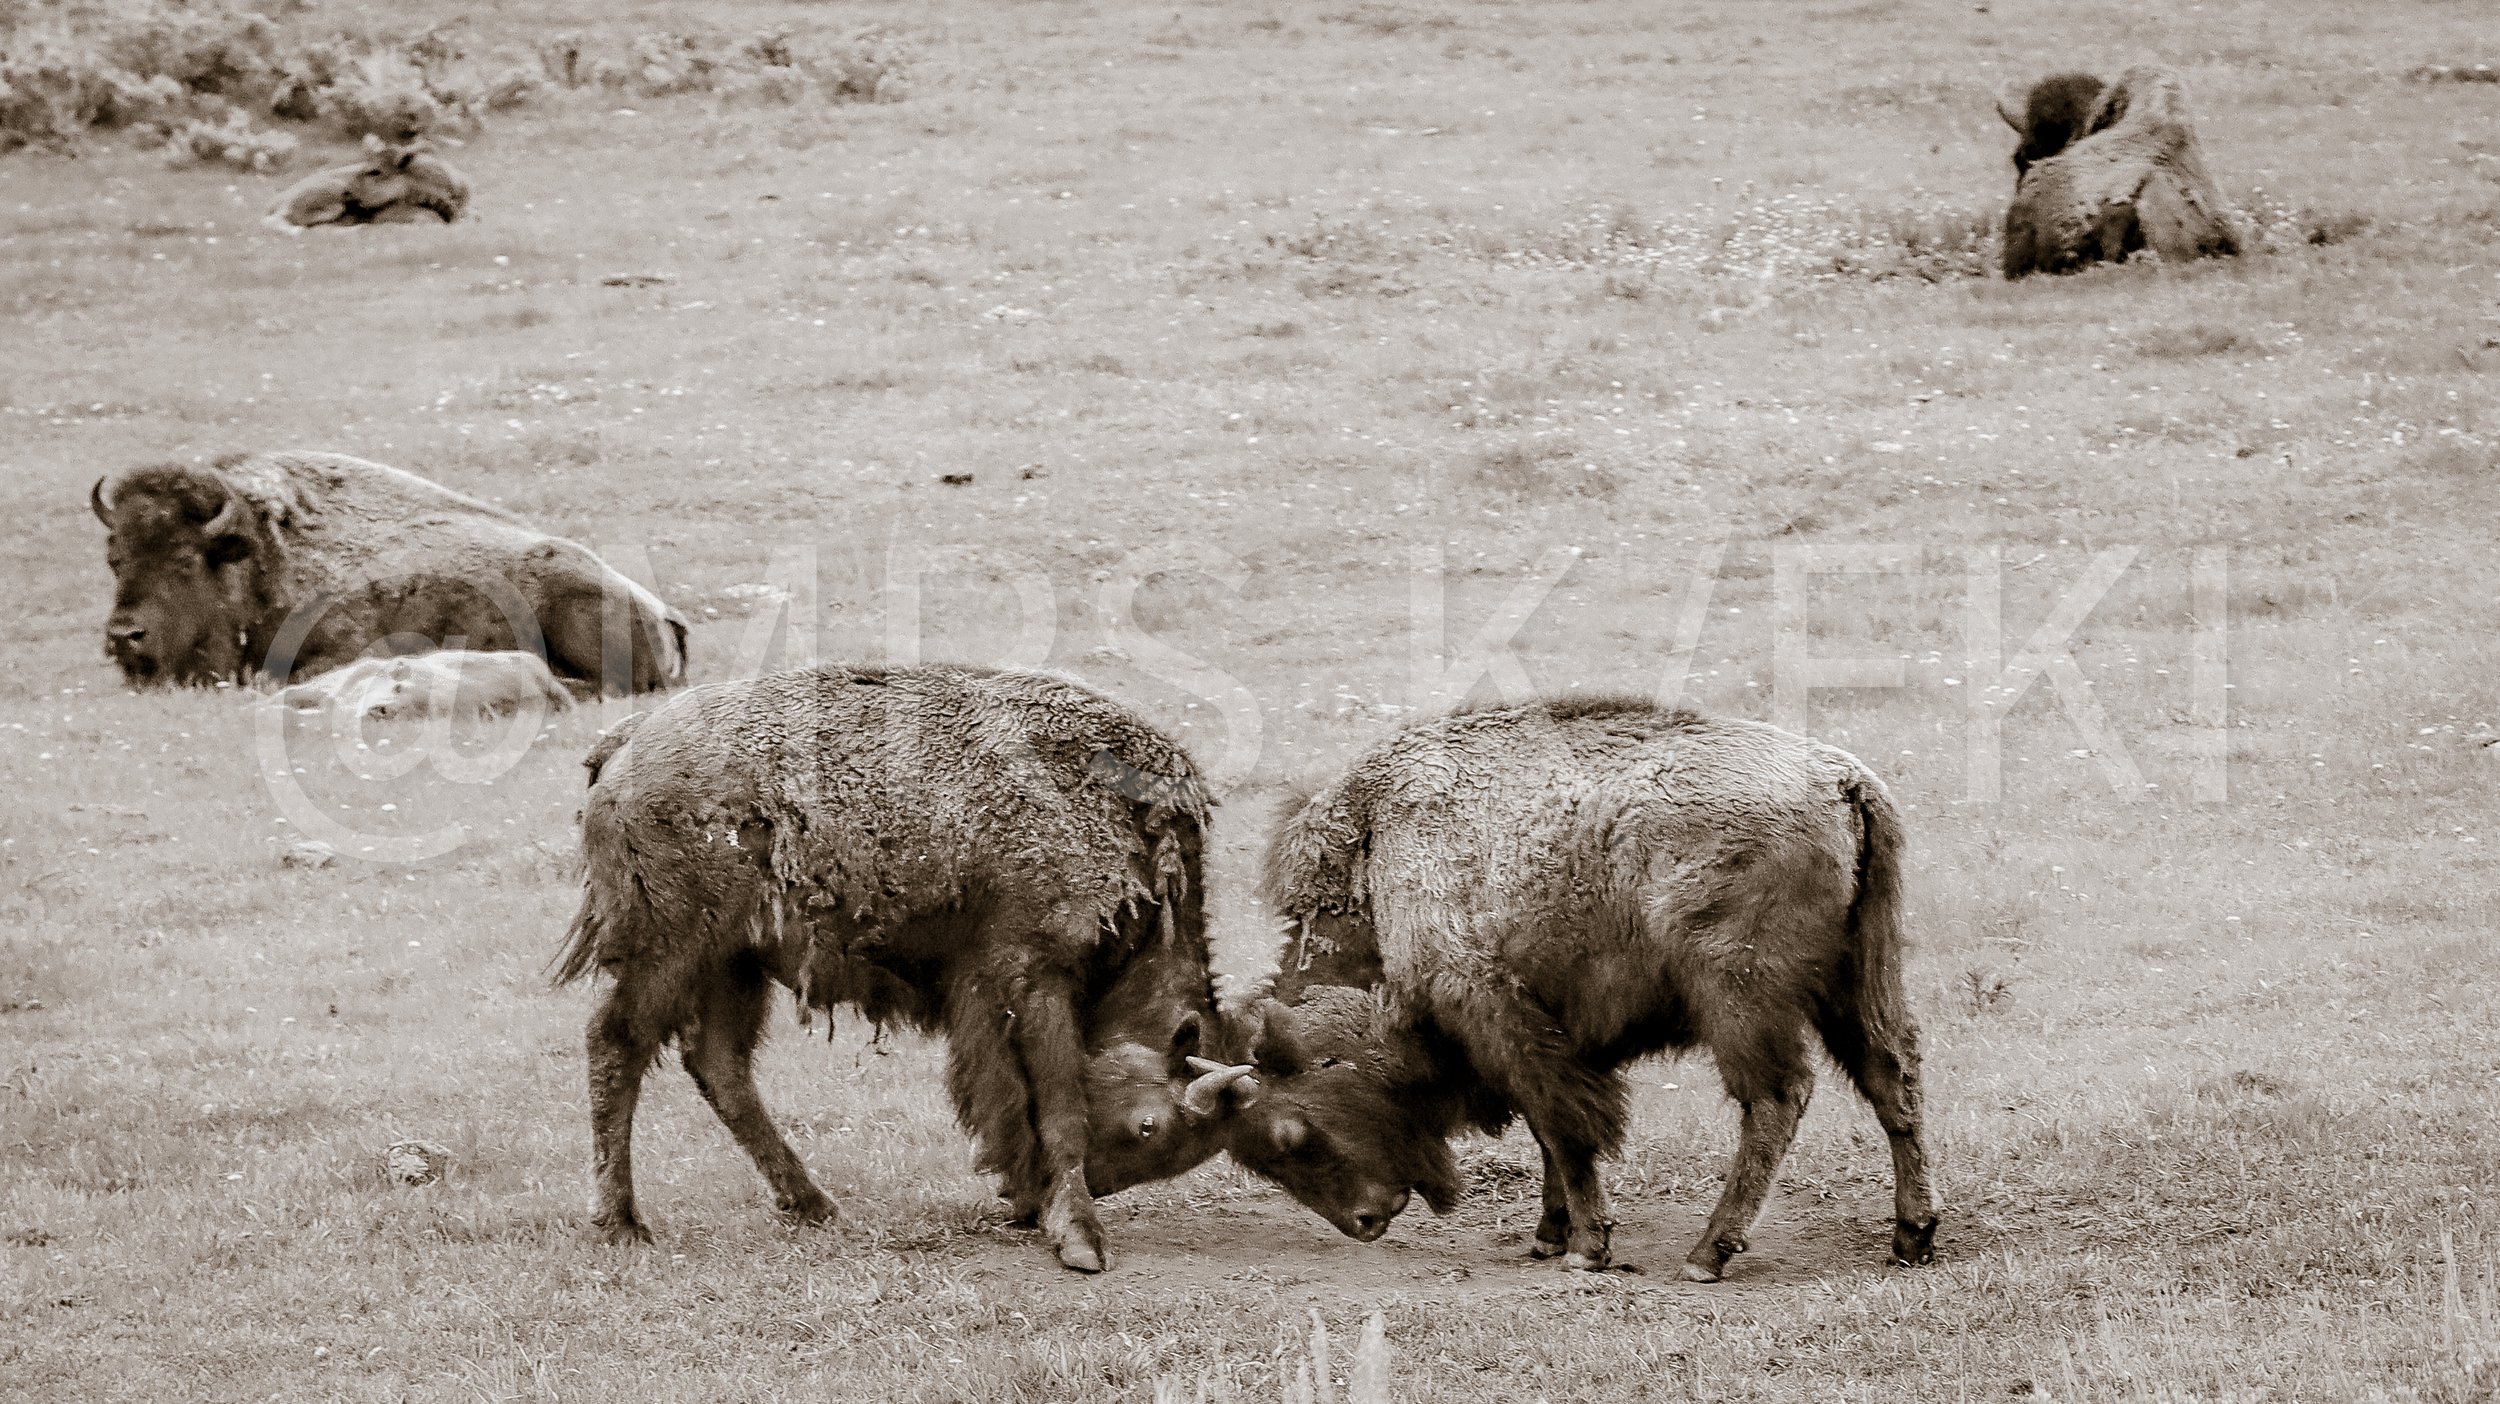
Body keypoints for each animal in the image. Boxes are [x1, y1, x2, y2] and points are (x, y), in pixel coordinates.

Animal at [551, 662, 1258, 1272]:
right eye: (1149, 1126)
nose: (1033, 1202)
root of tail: (624, 741)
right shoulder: (1034, 977)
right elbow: (1059, 1107)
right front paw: (1081, 1238)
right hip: (672, 950)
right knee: (617, 1042)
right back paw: (622, 1224)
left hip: (733, 962)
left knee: (719, 1063)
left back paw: (813, 1205)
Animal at [1219, 697, 1939, 1280]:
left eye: (1291, 1134)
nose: (1364, 1222)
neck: (1379, 867)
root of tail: (1844, 781)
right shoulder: (1553, 1030)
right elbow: (1550, 1137)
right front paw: (1551, 1235)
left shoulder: (1503, 1022)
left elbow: (1565, 1130)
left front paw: (1587, 1247)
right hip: (1858, 980)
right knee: (1891, 1078)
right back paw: (1912, 1237)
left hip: (1739, 998)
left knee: (1775, 1099)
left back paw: (1707, 1253)